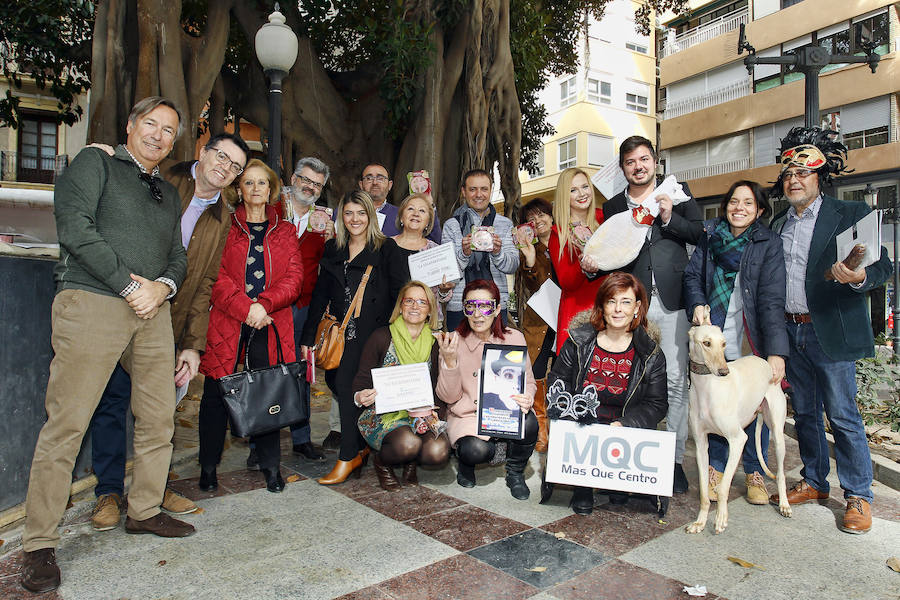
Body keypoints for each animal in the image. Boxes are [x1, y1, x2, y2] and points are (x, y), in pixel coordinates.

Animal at [684, 322, 792, 532]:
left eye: (724, 343)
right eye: (706, 343)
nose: (724, 372)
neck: (707, 387)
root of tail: (764, 361)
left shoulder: (738, 439)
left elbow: (723, 488)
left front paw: (721, 519)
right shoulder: (701, 445)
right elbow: (703, 492)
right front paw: (700, 522)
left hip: (777, 433)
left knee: (781, 473)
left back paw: (784, 504)